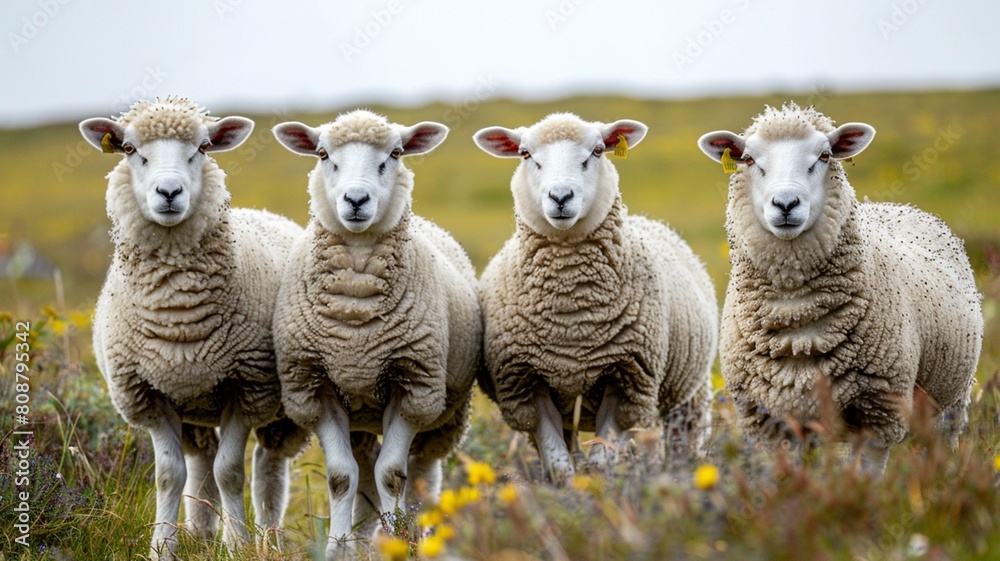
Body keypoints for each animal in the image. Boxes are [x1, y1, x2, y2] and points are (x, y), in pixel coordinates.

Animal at [79, 96, 309, 559]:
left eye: (203, 147)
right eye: (128, 149)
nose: (169, 192)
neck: (178, 316)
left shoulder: (247, 387)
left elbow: (231, 472)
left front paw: (238, 545)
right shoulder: (148, 395)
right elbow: (170, 475)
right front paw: (162, 547)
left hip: (281, 408)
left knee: (267, 469)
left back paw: (268, 538)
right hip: (193, 404)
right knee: (201, 461)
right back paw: (201, 534)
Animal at [271, 109, 480, 556]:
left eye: (396, 153)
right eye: (322, 154)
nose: (356, 200)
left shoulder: (412, 384)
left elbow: (392, 475)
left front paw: (400, 539)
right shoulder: (315, 386)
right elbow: (341, 477)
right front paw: (337, 549)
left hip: (444, 417)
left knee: (421, 473)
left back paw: (418, 532)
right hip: (361, 416)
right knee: (363, 473)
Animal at [473, 113, 719, 484]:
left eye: (598, 150)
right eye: (525, 153)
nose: (561, 196)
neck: (572, 318)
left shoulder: (629, 380)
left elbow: (603, 462)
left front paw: (599, 487)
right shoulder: (525, 385)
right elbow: (559, 465)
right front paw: (570, 489)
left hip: (689, 389)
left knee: (682, 438)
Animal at [697, 102, 983, 473]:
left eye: (824, 155)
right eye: (748, 159)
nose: (786, 204)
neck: (797, 318)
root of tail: (899, 207)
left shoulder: (878, 414)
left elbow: (865, 477)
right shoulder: (771, 422)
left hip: (951, 401)